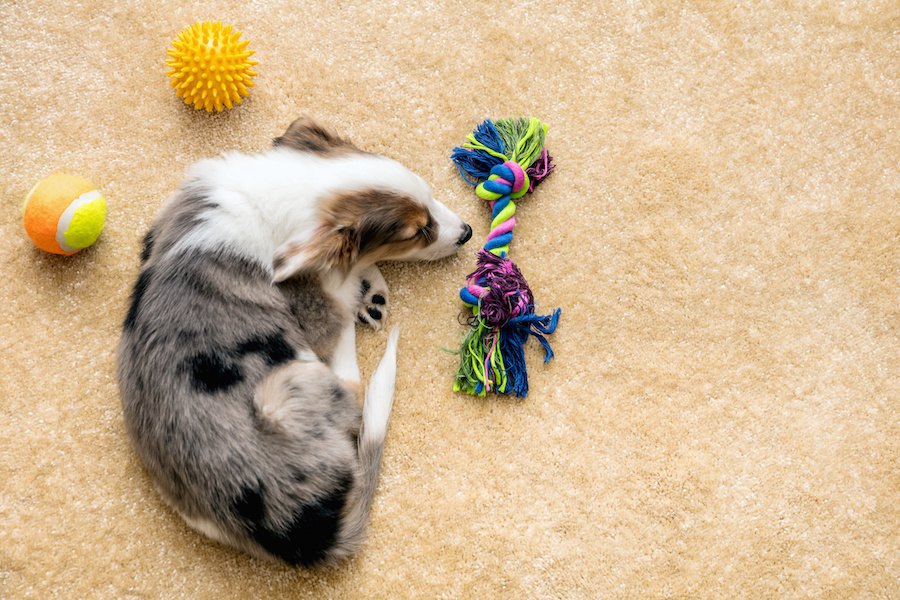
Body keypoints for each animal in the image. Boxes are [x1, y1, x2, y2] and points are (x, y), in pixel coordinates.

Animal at [116, 117, 474, 568]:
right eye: (419, 231)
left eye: (428, 197)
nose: (468, 233)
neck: (273, 196)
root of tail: (306, 538)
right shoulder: (318, 312)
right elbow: (339, 285)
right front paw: (360, 285)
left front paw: (371, 290)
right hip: (290, 382)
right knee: (356, 388)